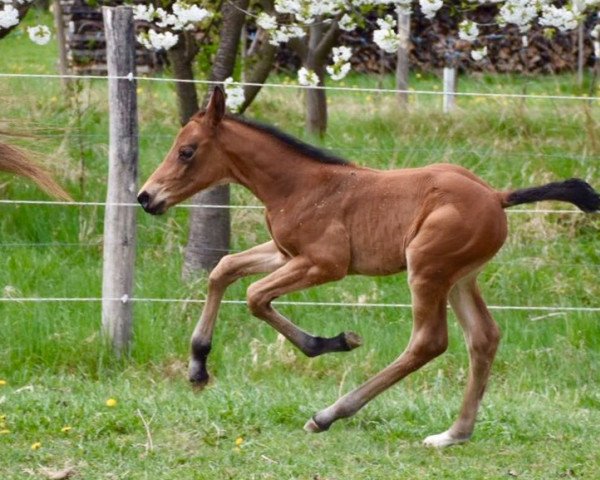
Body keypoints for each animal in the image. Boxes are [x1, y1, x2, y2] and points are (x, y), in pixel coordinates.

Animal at [137, 87, 600, 450]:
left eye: (186, 151)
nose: (146, 197)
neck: (296, 185)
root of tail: (497, 196)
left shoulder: (325, 264)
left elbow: (254, 296)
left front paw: (332, 342)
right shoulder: (287, 254)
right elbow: (224, 268)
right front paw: (198, 368)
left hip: (426, 268)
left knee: (428, 342)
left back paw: (328, 415)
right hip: (459, 278)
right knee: (483, 337)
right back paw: (453, 434)